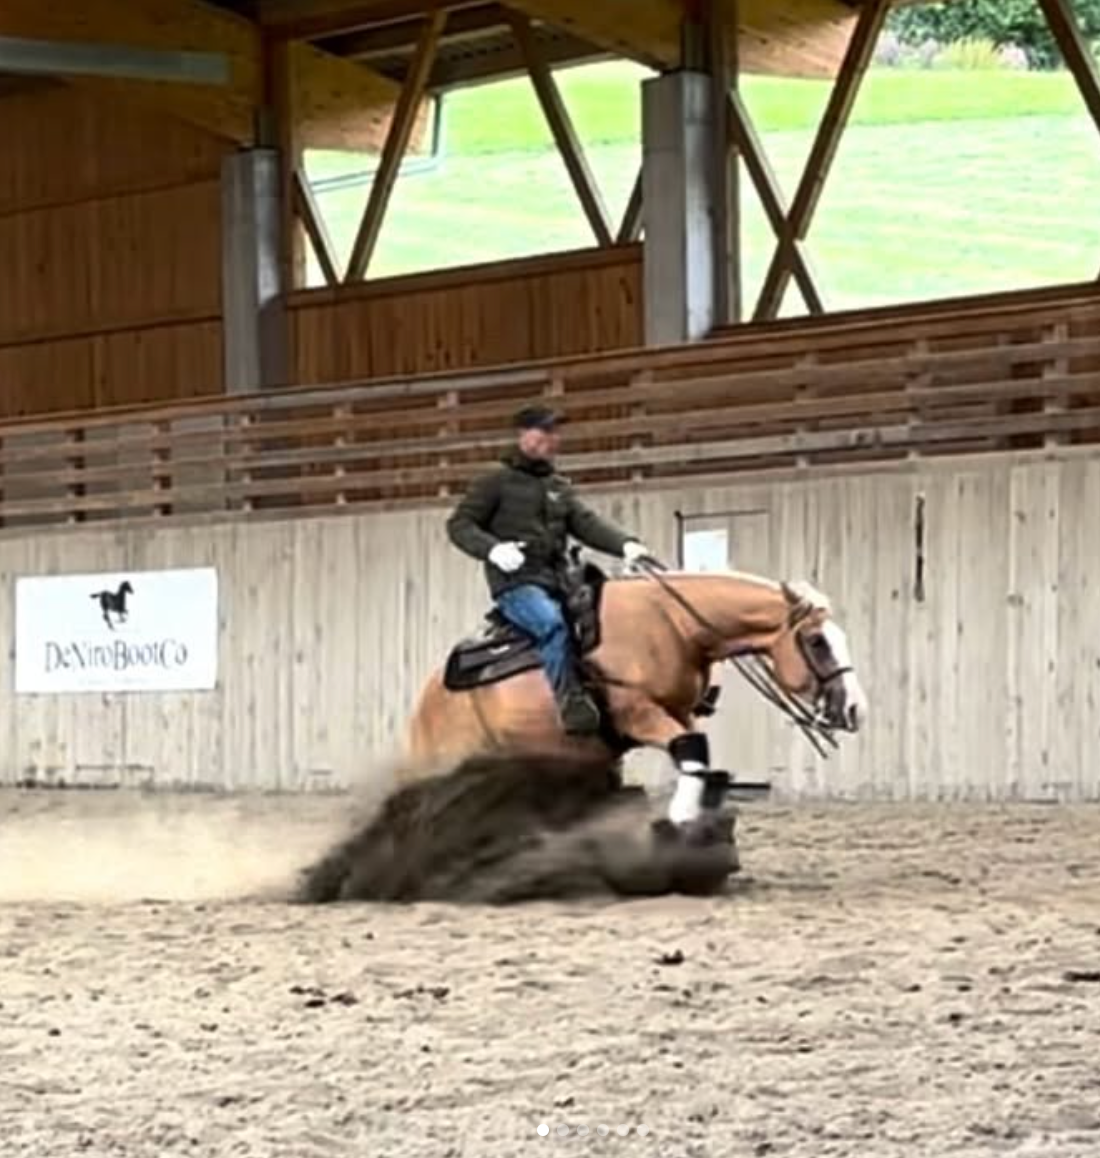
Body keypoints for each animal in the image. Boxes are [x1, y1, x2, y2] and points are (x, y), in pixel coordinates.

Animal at [404, 562, 867, 841]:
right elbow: (693, 749)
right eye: (817, 641)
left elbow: (701, 758)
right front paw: (680, 820)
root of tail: (428, 699)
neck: (670, 625)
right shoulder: (639, 715)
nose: (855, 708)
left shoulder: (678, 713)